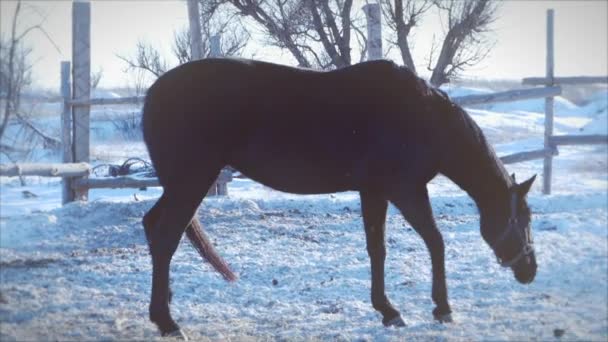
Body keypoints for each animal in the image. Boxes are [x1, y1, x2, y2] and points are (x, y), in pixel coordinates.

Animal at [140, 57, 536, 338]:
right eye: (524, 218)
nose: (530, 270)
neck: (424, 119)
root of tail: (155, 93)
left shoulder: (374, 192)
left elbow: (377, 248)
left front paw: (388, 311)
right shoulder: (406, 190)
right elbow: (435, 241)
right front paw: (442, 308)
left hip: (181, 184)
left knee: (154, 226)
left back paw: (164, 307)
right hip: (191, 180)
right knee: (166, 236)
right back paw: (168, 322)